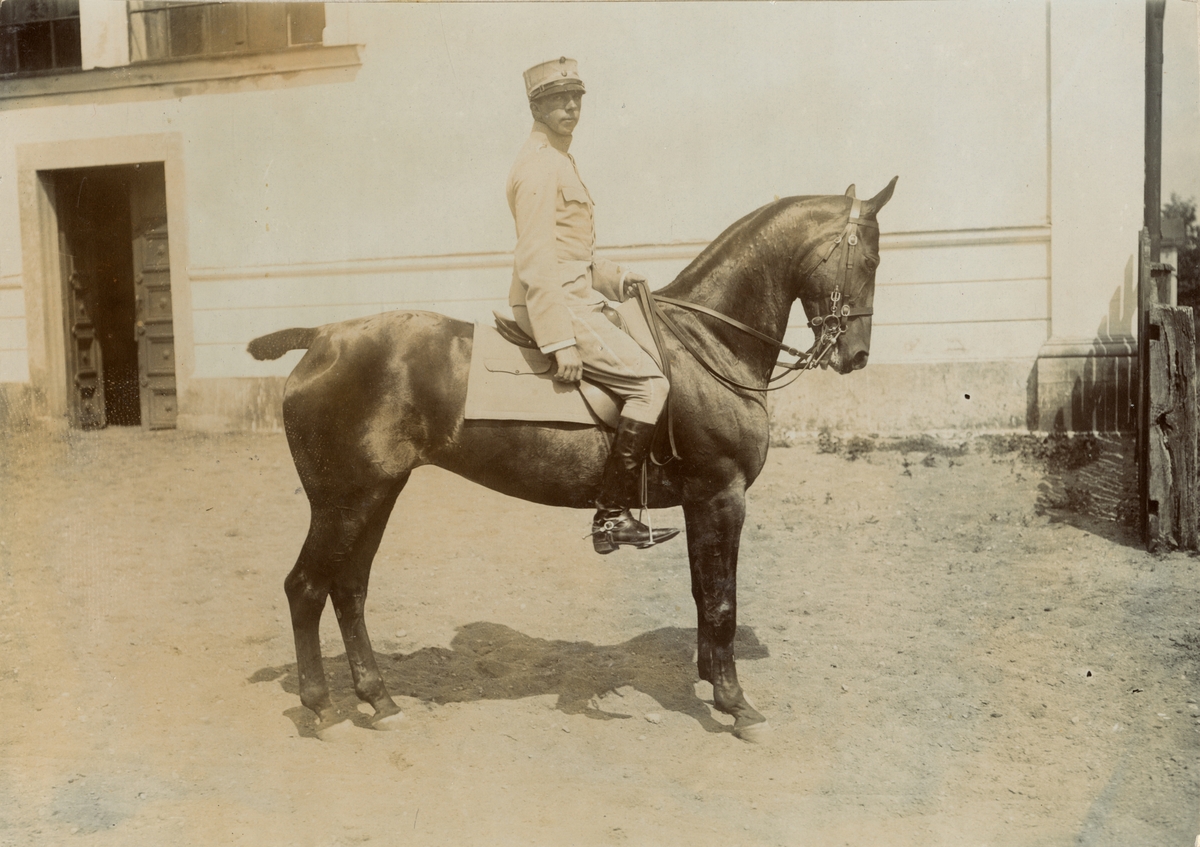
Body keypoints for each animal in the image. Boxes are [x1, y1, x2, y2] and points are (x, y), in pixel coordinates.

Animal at [247, 178, 897, 742]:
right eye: (869, 260)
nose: (857, 356)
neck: (708, 344)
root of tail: (324, 337)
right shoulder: (722, 496)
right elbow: (722, 603)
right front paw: (737, 705)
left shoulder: (700, 503)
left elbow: (701, 594)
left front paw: (711, 681)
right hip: (345, 501)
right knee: (307, 588)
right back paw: (323, 709)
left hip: (378, 494)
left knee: (349, 589)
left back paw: (379, 701)